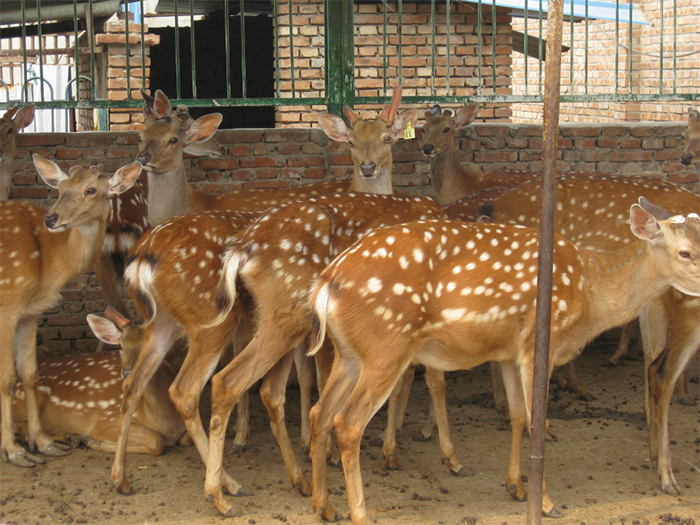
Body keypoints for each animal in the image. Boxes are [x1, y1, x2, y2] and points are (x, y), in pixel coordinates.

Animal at [0, 155, 141, 466]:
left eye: (91, 190)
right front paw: (14, 452)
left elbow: (29, 373)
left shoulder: (28, 312)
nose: (51, 218)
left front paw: (44, 443)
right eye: (60, 188)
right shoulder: (7, 303)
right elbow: (7, 379)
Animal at [200, 190, 446, 512]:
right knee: (227, 381)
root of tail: (242, 246)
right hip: (291, 311)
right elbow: (432, 379)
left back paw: (300, 481)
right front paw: (437, 456)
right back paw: (219, 495)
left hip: (286, 319)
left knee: (269, 391)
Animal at [310, 199, 700, 520]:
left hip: (350, 354)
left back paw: (325, 506)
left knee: (320, 412)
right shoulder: (540, 342)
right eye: (685, 252)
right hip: (386, 346)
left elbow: (516, 415)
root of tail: (325, 283)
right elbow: (536, 421)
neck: (590, 294)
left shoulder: (512, 353)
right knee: (348, 423)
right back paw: (360, 514)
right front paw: (547, 503)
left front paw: (516, 487)